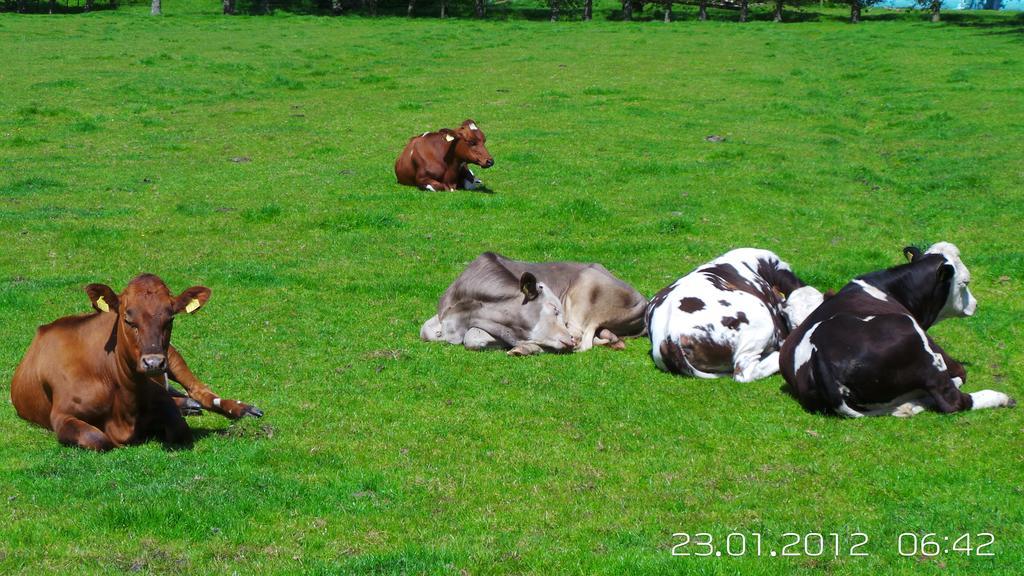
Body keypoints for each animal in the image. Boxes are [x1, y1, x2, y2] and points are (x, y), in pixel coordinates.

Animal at [417, 251, 647, 354]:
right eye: (554, 309)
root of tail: (643, 300)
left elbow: (473, 337)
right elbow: (425, 330)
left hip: (586, 287)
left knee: (583, 339)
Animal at [778, 239, 1011, 414]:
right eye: (965, 282)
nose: (975, 304)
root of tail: (822, 362)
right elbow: (961, 373)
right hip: (920, 346)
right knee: (952, 400)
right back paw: (1000, 397)